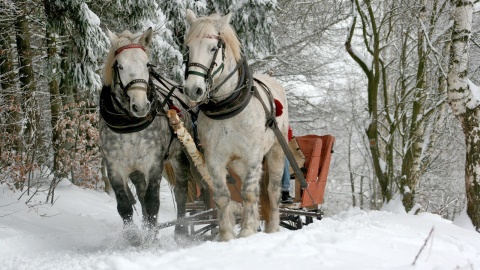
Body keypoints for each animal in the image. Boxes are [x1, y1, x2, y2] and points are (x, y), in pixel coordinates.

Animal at [184, 9, 288, 240]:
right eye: (188, 48)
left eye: (213, 48)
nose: (193, 90)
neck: (227, 107)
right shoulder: (214, 159)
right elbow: (223, 196)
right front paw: (226, 236)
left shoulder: (253, 156)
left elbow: (248, 193)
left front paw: (247, 231)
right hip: (238, 164)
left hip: (275, 151)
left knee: (272, 191)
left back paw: (272, 228)